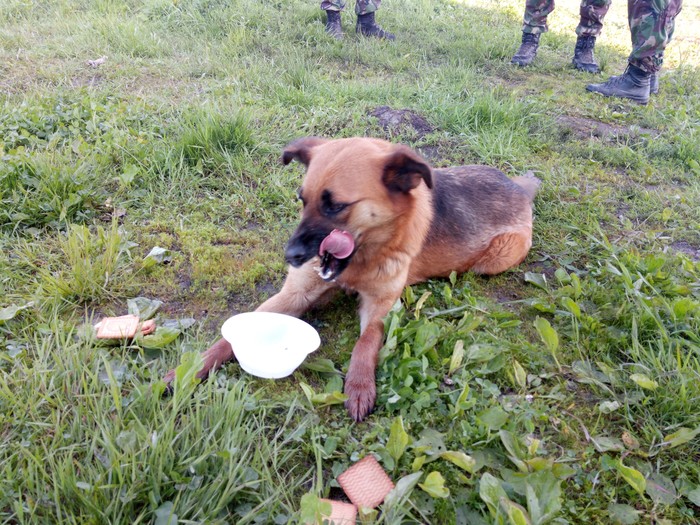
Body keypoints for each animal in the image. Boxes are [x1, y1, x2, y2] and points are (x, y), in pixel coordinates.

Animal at [165, 136, 540, 422]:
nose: (291, 256)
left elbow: (366, 342)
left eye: (335, 206)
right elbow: (230, 336)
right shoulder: (295, 294)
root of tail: (519, 189)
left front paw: (359, 386)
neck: (362, 259)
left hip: (494, 260)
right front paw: (194, 367)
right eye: (302, 200)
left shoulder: (379, 307)